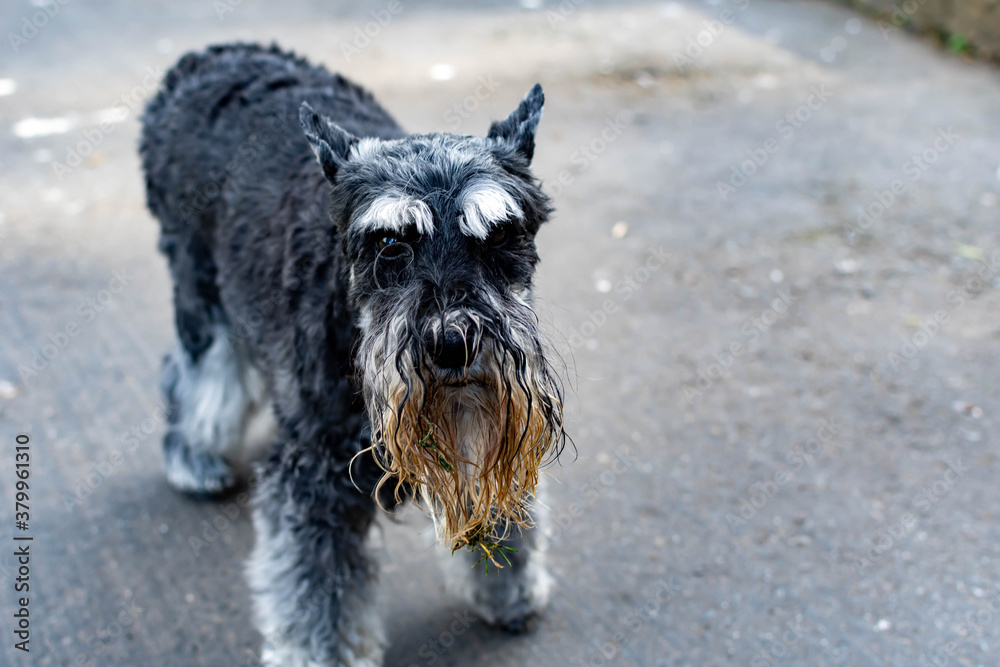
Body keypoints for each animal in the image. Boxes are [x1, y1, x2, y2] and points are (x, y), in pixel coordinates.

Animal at [141, 44, 568, 664]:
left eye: (499, 236)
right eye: (389, 244)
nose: (453, 342)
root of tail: (198, 64)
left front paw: (509, 588)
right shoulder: (314, 479)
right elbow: (318, 590)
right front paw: (318, 654)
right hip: (202, 293)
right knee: (195, 376)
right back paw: (193, 458)